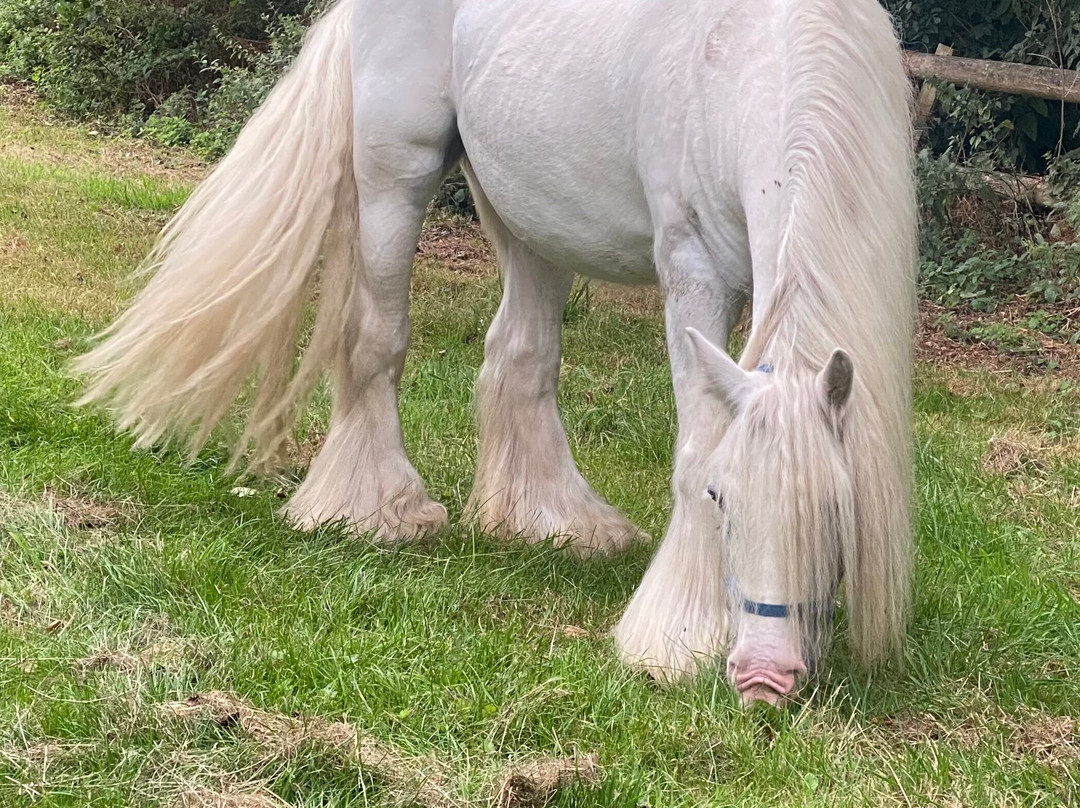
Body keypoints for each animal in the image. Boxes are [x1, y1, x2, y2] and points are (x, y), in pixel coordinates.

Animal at [75, 0, 917, 706]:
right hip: (397, 171)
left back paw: (549, 520)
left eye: (840, 511)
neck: (757, 51)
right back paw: (375, 510)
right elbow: (695, 443)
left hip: (531, 211)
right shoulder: (695, 269)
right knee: (375, 342)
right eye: (720, 498)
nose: (765, 678)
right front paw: (676, 635)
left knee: (519, 357)